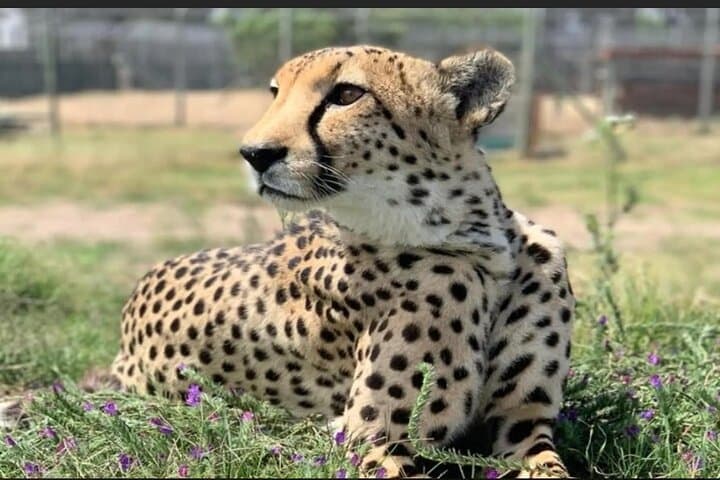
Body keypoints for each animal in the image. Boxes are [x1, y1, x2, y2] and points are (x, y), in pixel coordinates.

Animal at [109, 45, 575, 478]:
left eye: (347, 94)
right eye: (276, 93)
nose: (254, 153)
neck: (480, 244)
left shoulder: (521, 423)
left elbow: (552, 466)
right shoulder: (371, 438)